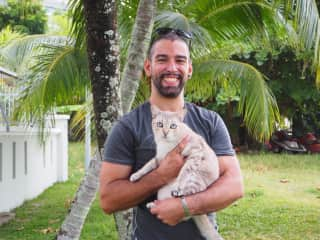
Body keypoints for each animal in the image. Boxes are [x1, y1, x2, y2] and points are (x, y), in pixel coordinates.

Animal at [129, 105, 222, 240]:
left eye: (173, 126)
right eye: (160, 124)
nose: (165, 133)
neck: (167, 145)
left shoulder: (195, 154)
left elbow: (183, 171)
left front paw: (178, 183)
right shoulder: (160, 159)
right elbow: (148, 165)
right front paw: (136, 175)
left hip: (196, 180)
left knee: (188, 206)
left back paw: (177, 192)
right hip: (161, 193)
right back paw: (153, 205)